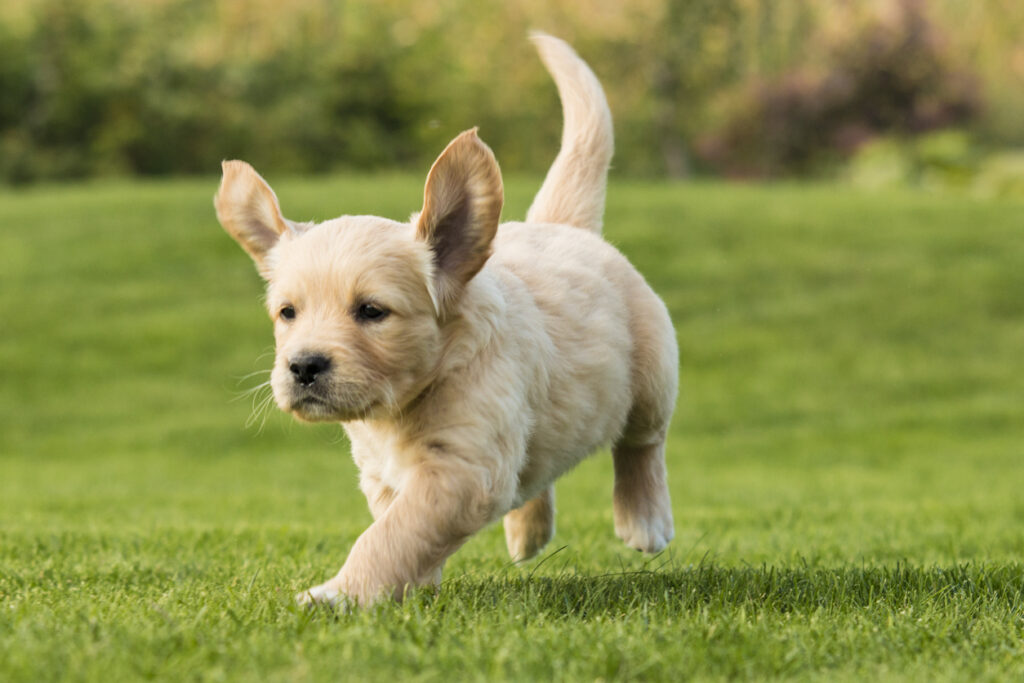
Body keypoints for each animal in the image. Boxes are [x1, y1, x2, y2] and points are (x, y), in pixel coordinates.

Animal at [214, 33, 679, 610]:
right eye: (287, 313)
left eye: (372, 311)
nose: (302, 366)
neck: (404, 404)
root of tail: (562, 226)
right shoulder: (385, 474)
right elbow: (399, 527)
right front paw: (411, 584)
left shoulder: (462, 468)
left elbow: (392, 534)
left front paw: (340, 594)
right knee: (538, 465)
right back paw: (528, 532)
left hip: (653, 371)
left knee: (643, 444)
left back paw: (645, 520)